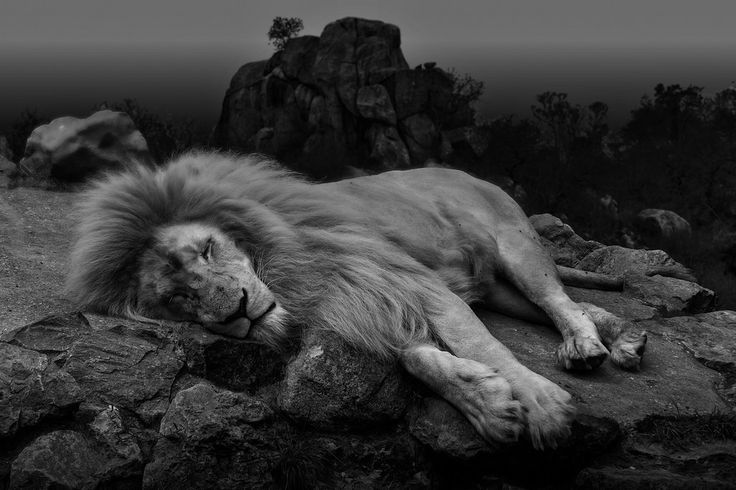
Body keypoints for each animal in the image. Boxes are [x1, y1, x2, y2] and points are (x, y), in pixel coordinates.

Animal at [66, 151, 648, 450]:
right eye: (180, 297)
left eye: (208, 248)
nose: (236, 312)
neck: (289, 271)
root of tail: (465, 170)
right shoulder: (365, 304)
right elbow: (416, 358)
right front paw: (488, 405)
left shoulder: (406, 282)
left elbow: (481, 346)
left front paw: (542, 406)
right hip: (496, 286)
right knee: (574, 304)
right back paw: (620, 340)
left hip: (515, 249)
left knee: (558, 299)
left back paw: (585, 348)